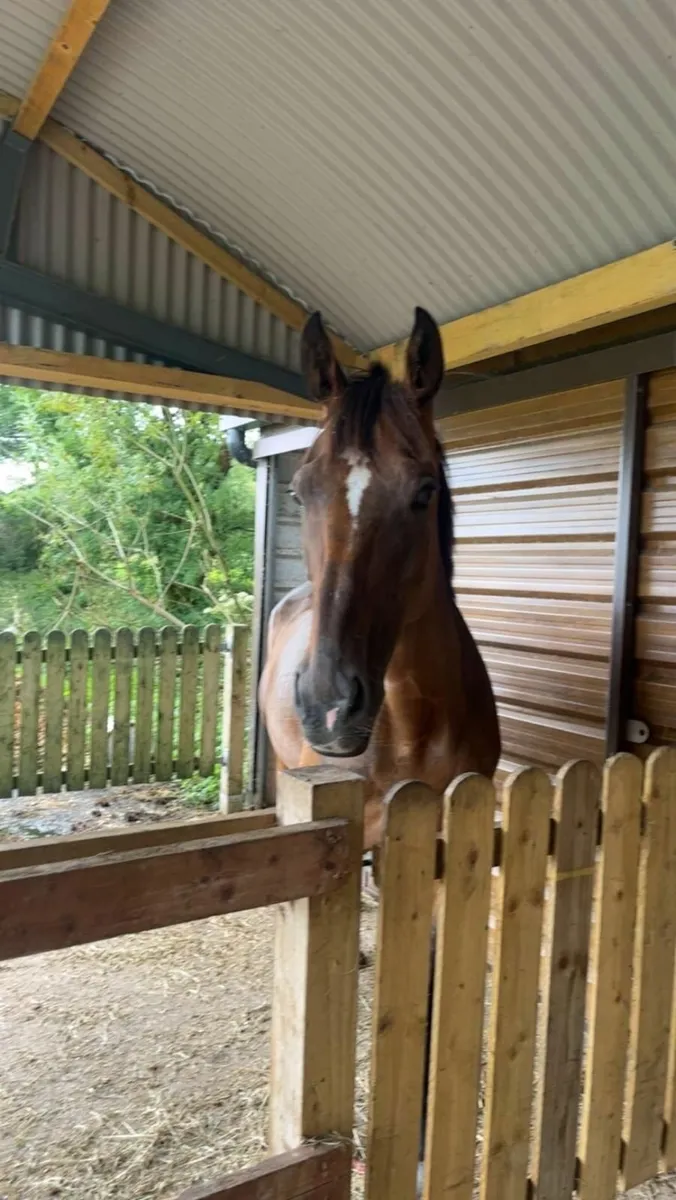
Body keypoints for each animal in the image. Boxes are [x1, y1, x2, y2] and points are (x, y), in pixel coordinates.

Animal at [259, 305, 500, 1183]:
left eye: (424, 490)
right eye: (302, 487)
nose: (330, 705)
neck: (410, 714)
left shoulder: (445, 850)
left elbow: (426, 990)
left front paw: (427, 1148)